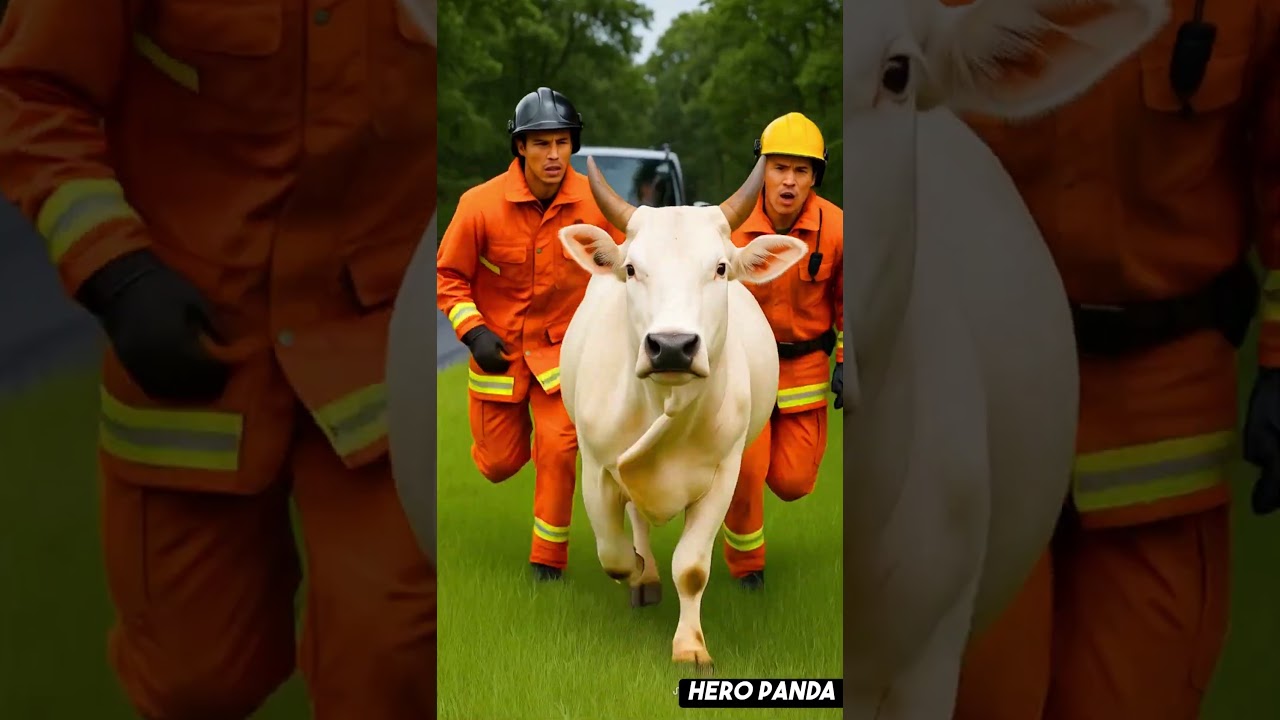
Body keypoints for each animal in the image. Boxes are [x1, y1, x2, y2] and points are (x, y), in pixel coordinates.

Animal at [555, 156, 808, 667]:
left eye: (720, 268)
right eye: (632, 268)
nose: (671, 346)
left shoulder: (724, 472)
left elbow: (691, 568)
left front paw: (690, 645)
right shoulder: (596, 465)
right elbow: (613, 554)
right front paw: (636, 570)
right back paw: (645, 574)